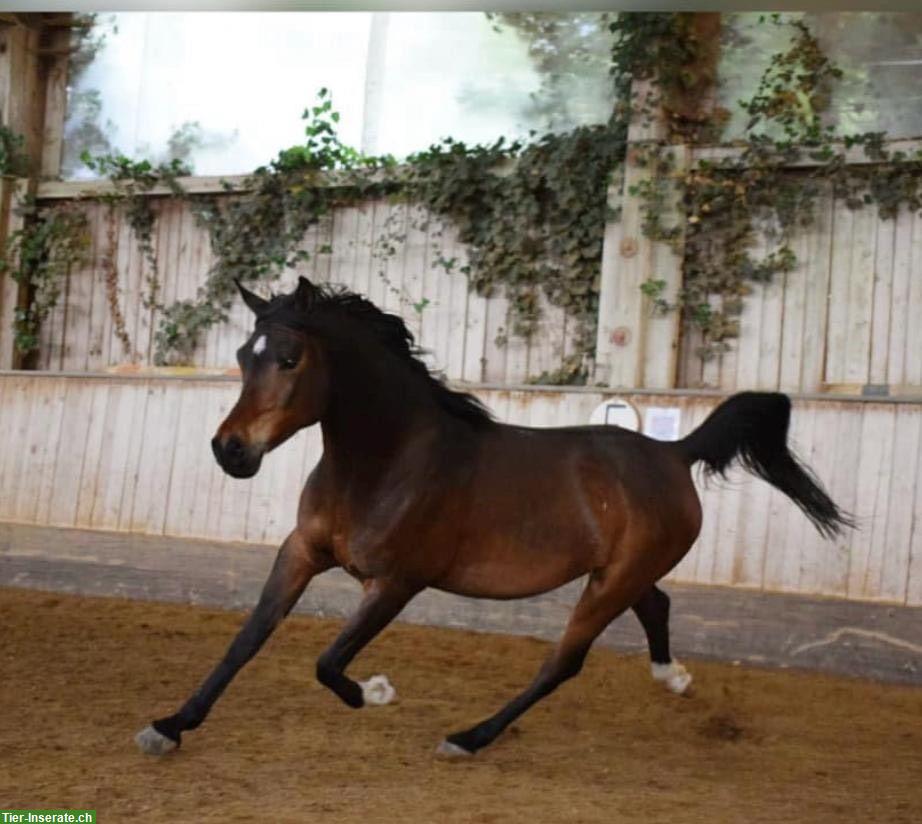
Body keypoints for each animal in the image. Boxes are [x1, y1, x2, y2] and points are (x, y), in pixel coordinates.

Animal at [135, 278, 848, 760]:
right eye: (243, 356)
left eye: (290, 359)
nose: (230, 451)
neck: (385, 462)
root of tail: (674, 454)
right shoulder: (301, 553)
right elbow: (248, 638)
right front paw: (169, 726)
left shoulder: (396, 583)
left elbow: (328, 663)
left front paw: (378, 693)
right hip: (621, 572)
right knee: (657, 605)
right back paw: (674, 680)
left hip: (607, 584)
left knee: (563, 663)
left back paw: (469, 737)